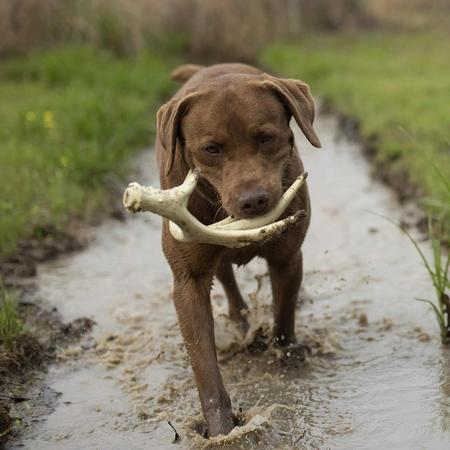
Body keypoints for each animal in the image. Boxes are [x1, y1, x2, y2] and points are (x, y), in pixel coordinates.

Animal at [155, 63, 320, 436]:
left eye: (266, 137)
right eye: (211, 149)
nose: (253, 200)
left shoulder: (288, 258)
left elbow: (284, 314)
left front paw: (285, 355)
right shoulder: (188, 281)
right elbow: (203, 364)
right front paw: (220, 429)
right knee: (227, 280)